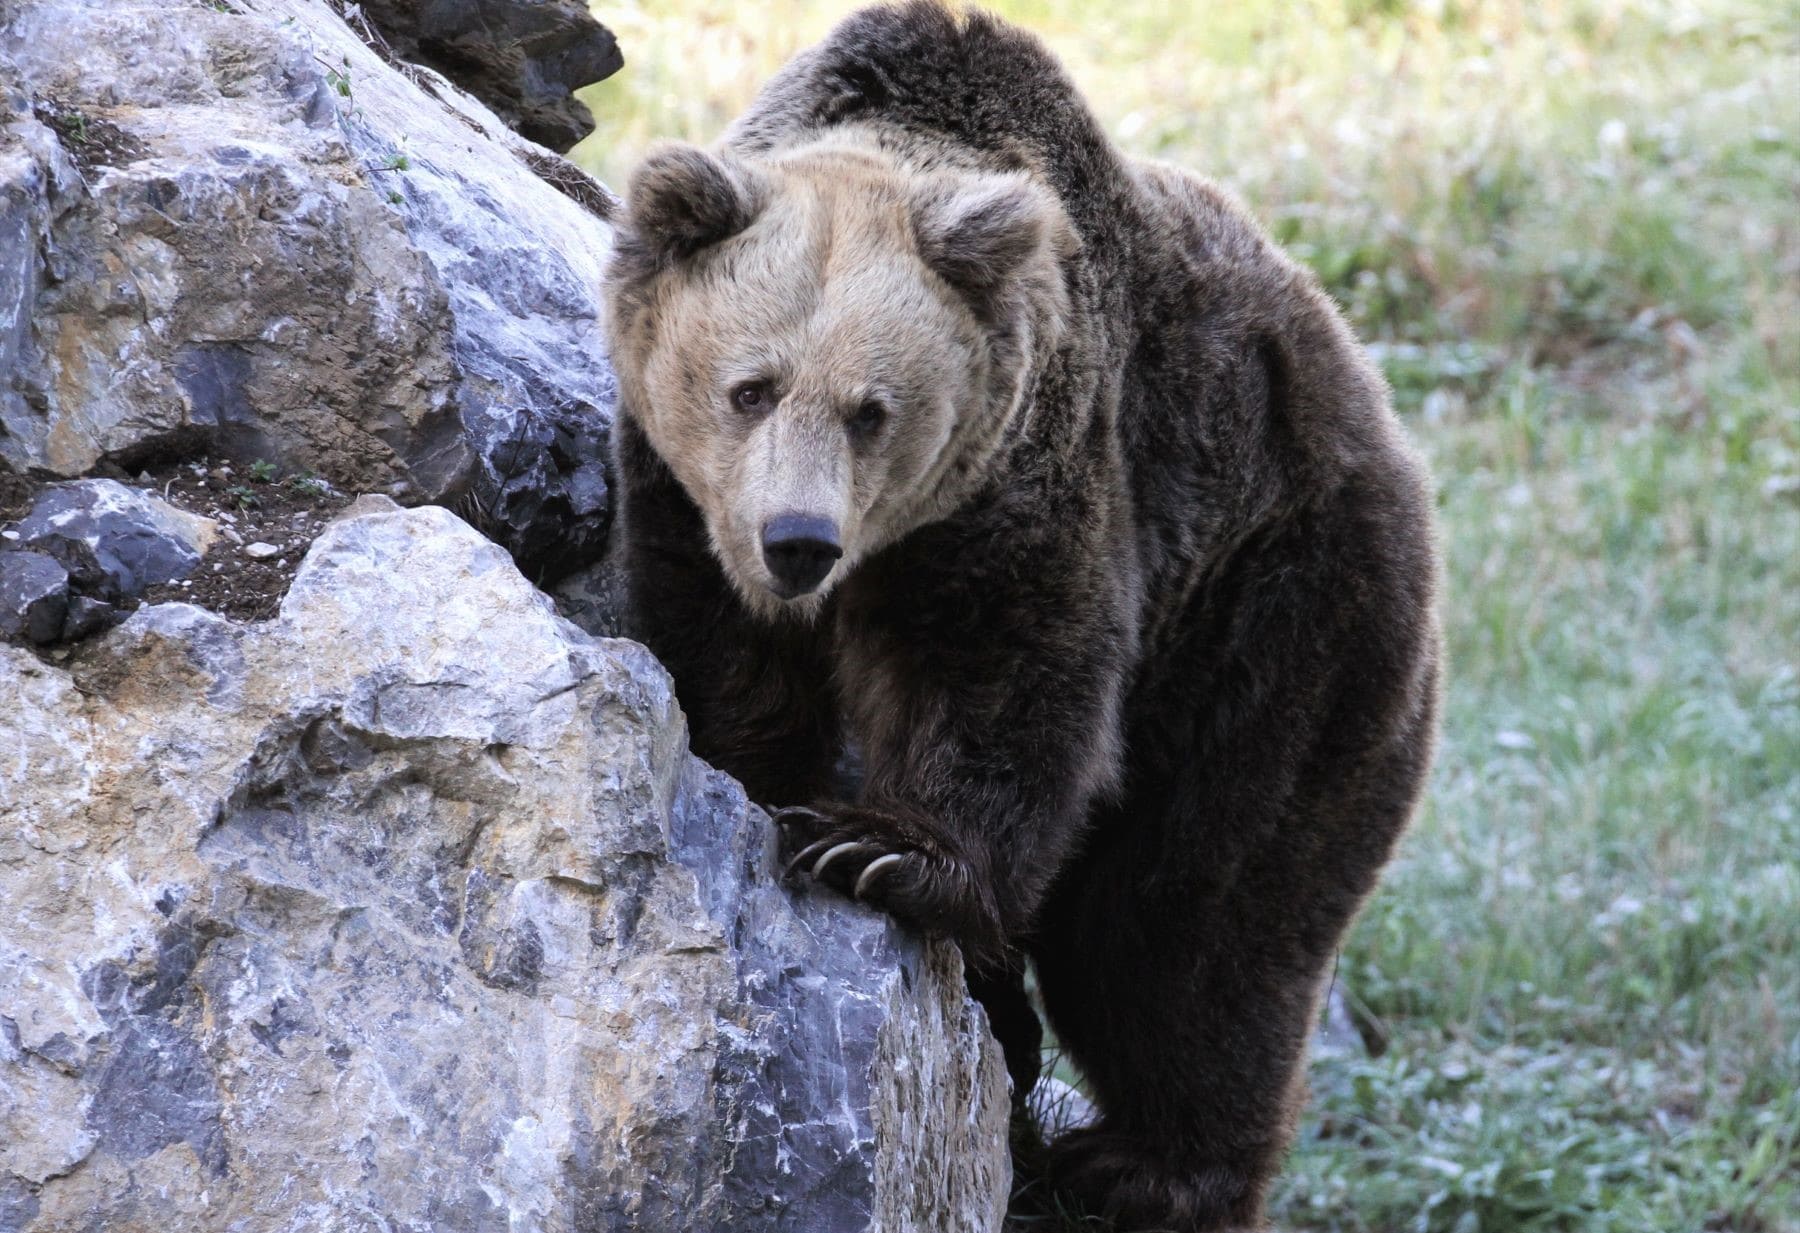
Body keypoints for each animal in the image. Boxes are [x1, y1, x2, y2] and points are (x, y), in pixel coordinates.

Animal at [601, 3, 1441, 1229]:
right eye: (750, 387)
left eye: (871, 410)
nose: (798, 540)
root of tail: (1389, 423)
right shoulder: (681, 502)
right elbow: (723, 662)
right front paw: (767, 780)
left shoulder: (1040, 473)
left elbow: (1012, 681)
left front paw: (876, 850)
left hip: (1284, 611)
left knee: (1192, 922)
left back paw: (1148, 1166)